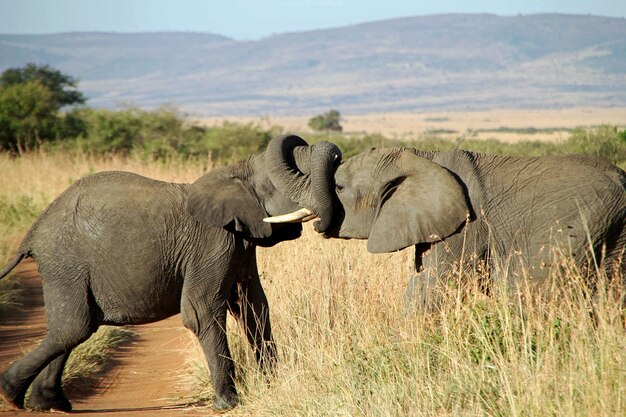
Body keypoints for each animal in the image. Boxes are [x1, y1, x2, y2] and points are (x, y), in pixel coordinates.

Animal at [0, 135, 342, 412]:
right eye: (292, 177)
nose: (321, 225)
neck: (235, 173)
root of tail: (32, 233)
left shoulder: (241, 243)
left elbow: (253, 308)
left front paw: (274, 385)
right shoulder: (212, 242)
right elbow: (201, 310)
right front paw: (228, 404)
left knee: (70, 328)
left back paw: (48, 404)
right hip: (66, 261)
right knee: (75, 327)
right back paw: (11, 393)